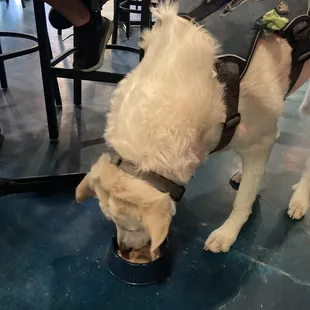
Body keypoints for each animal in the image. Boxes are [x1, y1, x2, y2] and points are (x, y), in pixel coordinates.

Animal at [75, 2, 310, 253]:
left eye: (132, 227)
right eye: (111, 221)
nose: (123, 248)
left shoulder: (261, 142)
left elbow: (242, 200)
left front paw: (227, 234)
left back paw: (300, 200)